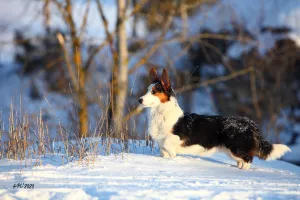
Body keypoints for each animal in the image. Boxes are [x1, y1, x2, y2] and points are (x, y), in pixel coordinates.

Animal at [139, 68, 292, 170]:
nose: (139, 100)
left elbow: (169, 143)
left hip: (236, 149)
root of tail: (251, 124)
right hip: (232, 152)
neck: (161, 113)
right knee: (241, 161)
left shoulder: (174, 140)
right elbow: (164, 151)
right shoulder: (162, 148)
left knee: (248, 159)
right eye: (147, 90)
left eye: (154, 92)